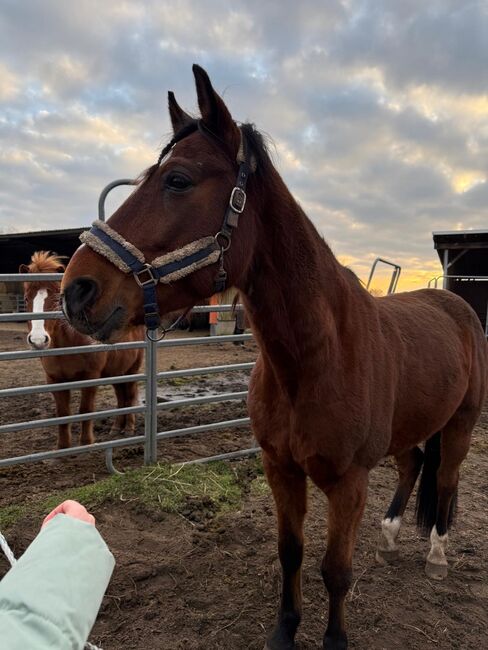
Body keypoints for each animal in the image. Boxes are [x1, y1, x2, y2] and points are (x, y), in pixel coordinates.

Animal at [20, 251, 144, 448]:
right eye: (26, 299)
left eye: (55, 299)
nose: (38, 340)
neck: (67, 346)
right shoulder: (54, 380)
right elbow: (62, 414)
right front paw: (63, 447)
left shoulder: (90, 377)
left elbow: (86, 409)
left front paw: (86, 443)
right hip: (116, 372)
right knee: (121, 397)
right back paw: (116, 428)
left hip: (131, 370)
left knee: (130, 395)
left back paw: (129, 428)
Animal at [62, 66, 488, 644]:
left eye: (178, 180)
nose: (76, 290)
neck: (313, 361)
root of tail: (456, 305)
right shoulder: (280, 469)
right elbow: (291, 554)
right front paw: (285, 631)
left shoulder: (349, 482)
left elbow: (336, 570)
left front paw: (335, 639)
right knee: (414, 464)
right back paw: (390, 537)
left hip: (461, 422)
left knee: (446, 479)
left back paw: (438, 555)